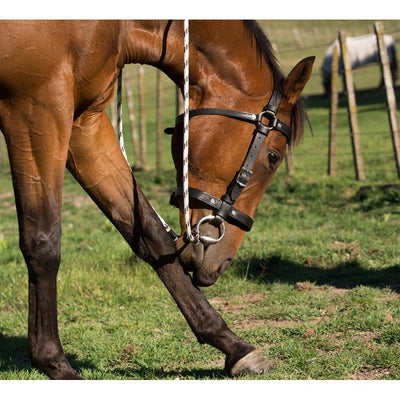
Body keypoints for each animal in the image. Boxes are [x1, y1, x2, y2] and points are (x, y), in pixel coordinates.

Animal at [0, 20, 314, 380]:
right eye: (273, 157)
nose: (224, 262)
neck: (113, 28)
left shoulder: (82, 120)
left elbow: (151, 236)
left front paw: (233, 346)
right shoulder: (37, 107)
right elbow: (43, 243)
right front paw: (55, 363)